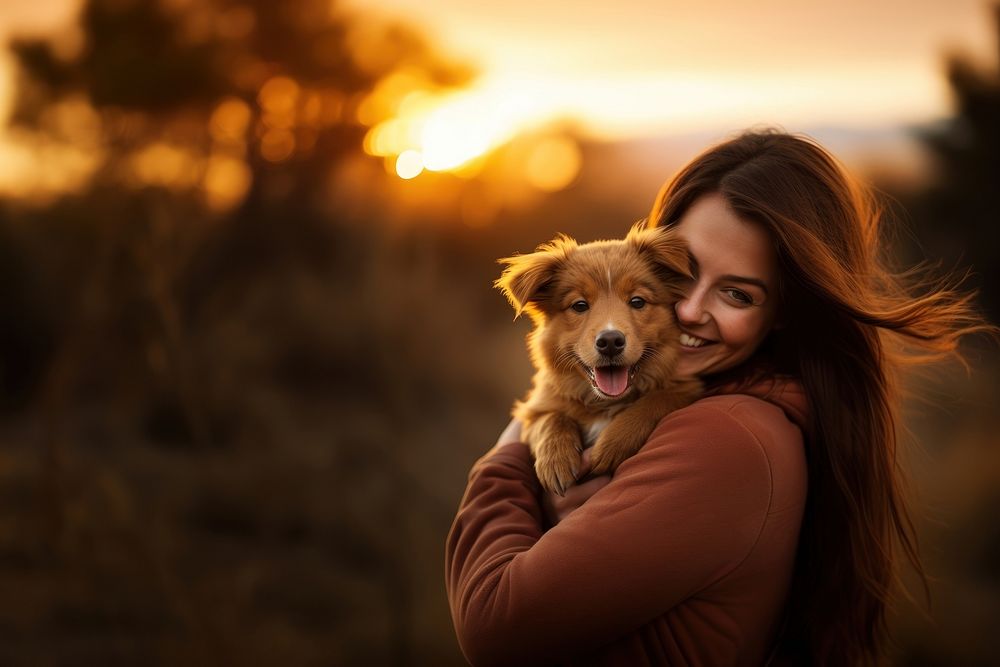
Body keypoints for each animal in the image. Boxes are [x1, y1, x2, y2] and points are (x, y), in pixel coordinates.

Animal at [494, 224, 700, 496]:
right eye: (580, 305)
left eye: (637, 301)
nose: (610, 341)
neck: (604, 403)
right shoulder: (534, 410)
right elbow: (550, 419)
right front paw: (555, 460)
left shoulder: (687, 388)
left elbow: (655, 400)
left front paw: (611, 445)